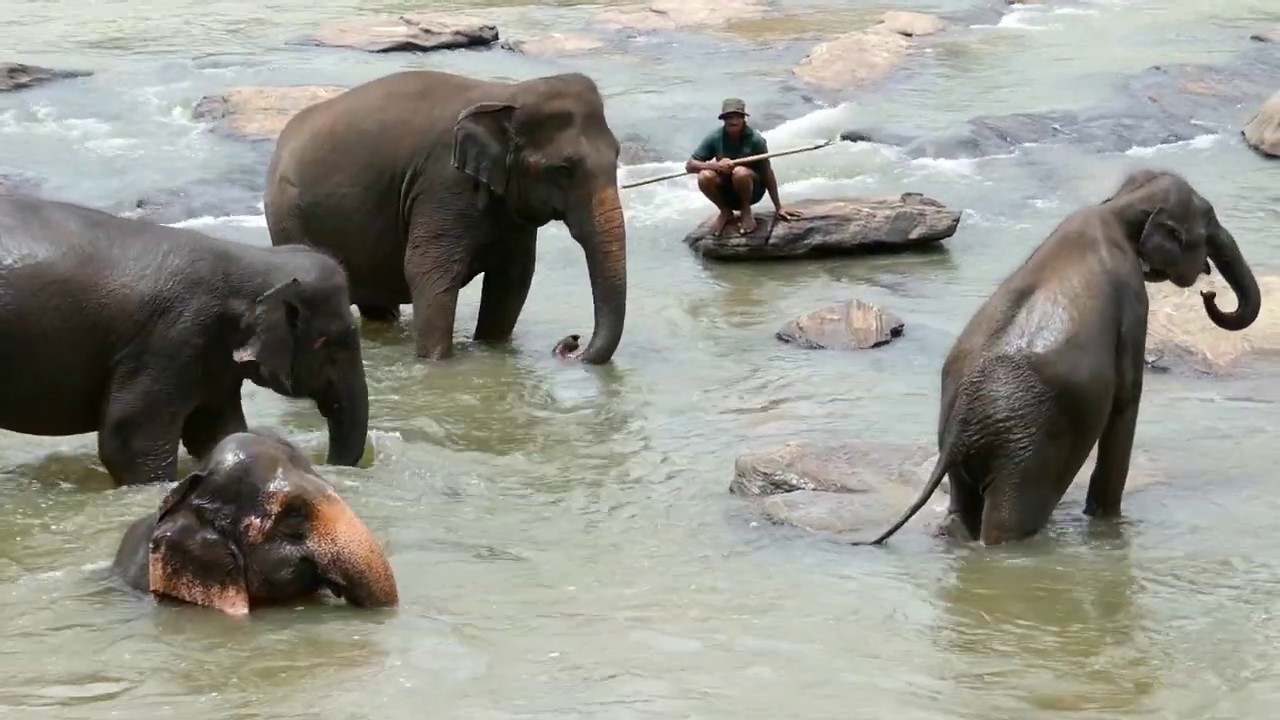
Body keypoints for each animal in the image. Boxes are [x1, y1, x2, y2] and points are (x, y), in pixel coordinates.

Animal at [0, 195, 370, 486]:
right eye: (329, 343)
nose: (326, 465)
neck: (255, 259)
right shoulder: (172, 339)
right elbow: (130, 438)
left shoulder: (214, 364)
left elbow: (218, 430)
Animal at [263, 69, 628, 365]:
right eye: (563, 169)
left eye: (618, 154)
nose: (573, 340)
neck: (505, 96)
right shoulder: (442, 182)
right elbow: (428, 271)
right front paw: (435, 363)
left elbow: (513, 277)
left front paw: (492, 351)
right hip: (288, 220)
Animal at [857, 169, 1260, 547]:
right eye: (1208, 223)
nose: (1209, 294)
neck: (1117, 206)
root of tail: (960, 425)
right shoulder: (1133, 300)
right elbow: (1126, 398)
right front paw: (1107, 522)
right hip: (1026, 452)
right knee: (1007, 524)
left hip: (972, 444)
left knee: (961, 509)